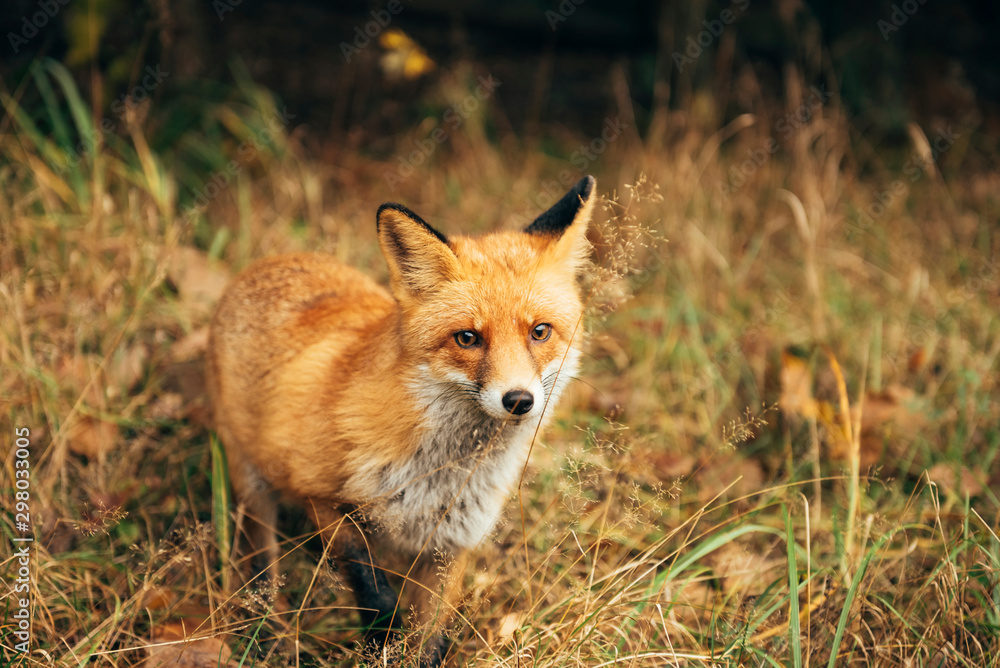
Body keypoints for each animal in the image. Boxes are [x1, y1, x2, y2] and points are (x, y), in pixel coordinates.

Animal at [206, 175, 596, 666]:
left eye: (539, 332)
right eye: (467, 338)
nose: (519, 400)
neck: (439, 476)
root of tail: (268, 263)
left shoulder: (454, 541)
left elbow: (431, 632)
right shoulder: (318, 494)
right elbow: (368, 579)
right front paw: (380, 635)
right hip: (252, 483)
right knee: (263, 565)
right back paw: (271, 632)